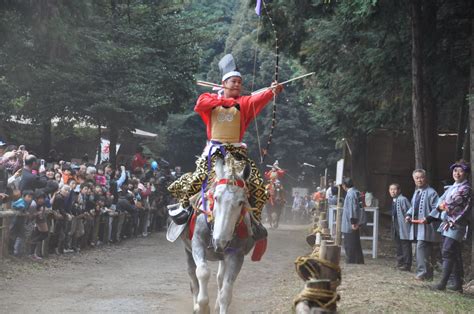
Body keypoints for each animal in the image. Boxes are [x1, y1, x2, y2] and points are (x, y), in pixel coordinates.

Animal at [181, 155, 256, 314]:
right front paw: (202, 307)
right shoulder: (197, 243)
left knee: (220, 278)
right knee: (193, 276)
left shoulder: (236, 254)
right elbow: (202, 272)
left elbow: (226, 293)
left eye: (241, 202)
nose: (219, 241)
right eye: (216, 197)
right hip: (187, 249)